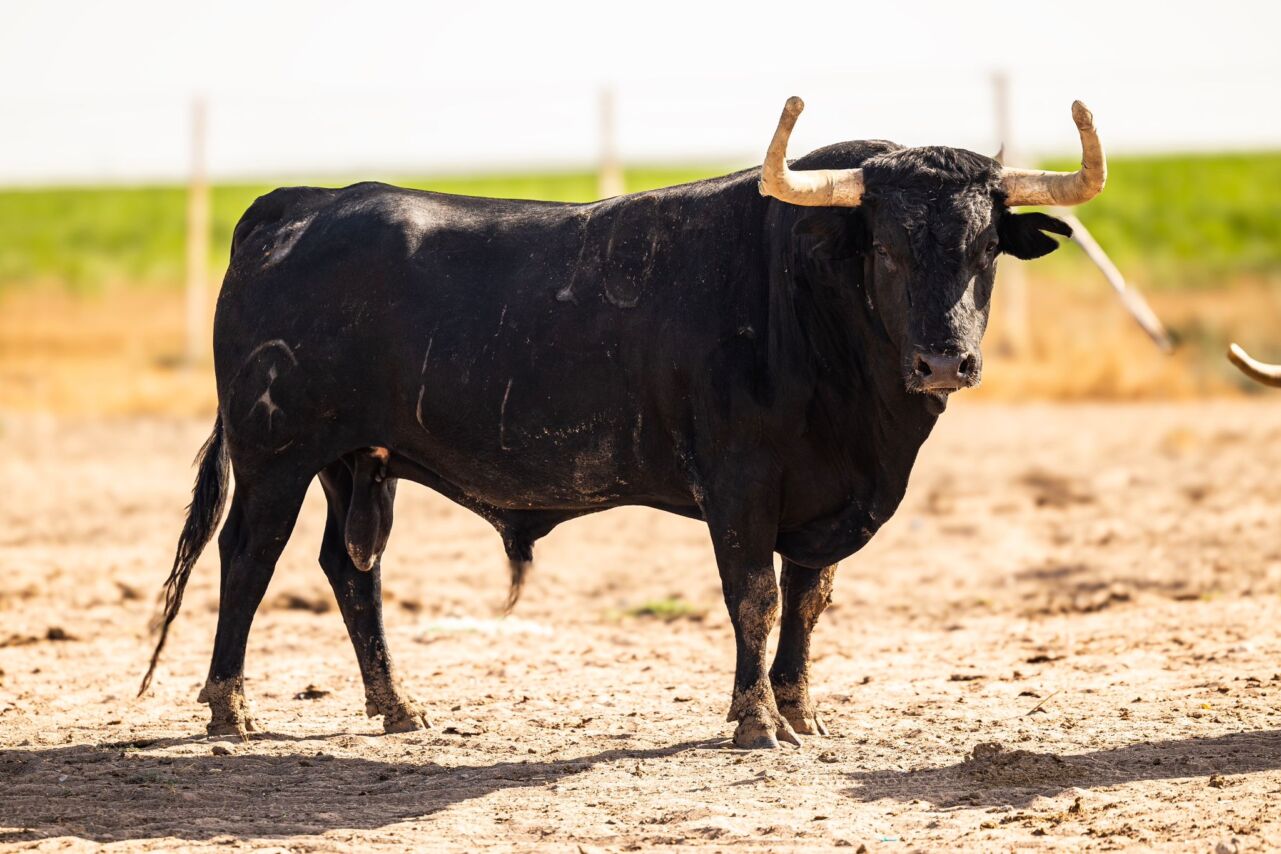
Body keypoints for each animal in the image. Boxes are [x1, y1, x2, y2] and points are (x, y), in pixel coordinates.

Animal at [145, 136, 1076, 742]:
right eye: (883, 246)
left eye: (986, 247)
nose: (944, 360)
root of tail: (300, 203)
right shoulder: (739, 484)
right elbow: (755, 597)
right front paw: (755, 720)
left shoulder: (824, 505)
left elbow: (806, 602)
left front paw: (800, 711)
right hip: (277, 456)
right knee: (249, 557)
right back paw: (230, 709)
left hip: (359, 463)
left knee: (350, 569)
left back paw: (398, 707)